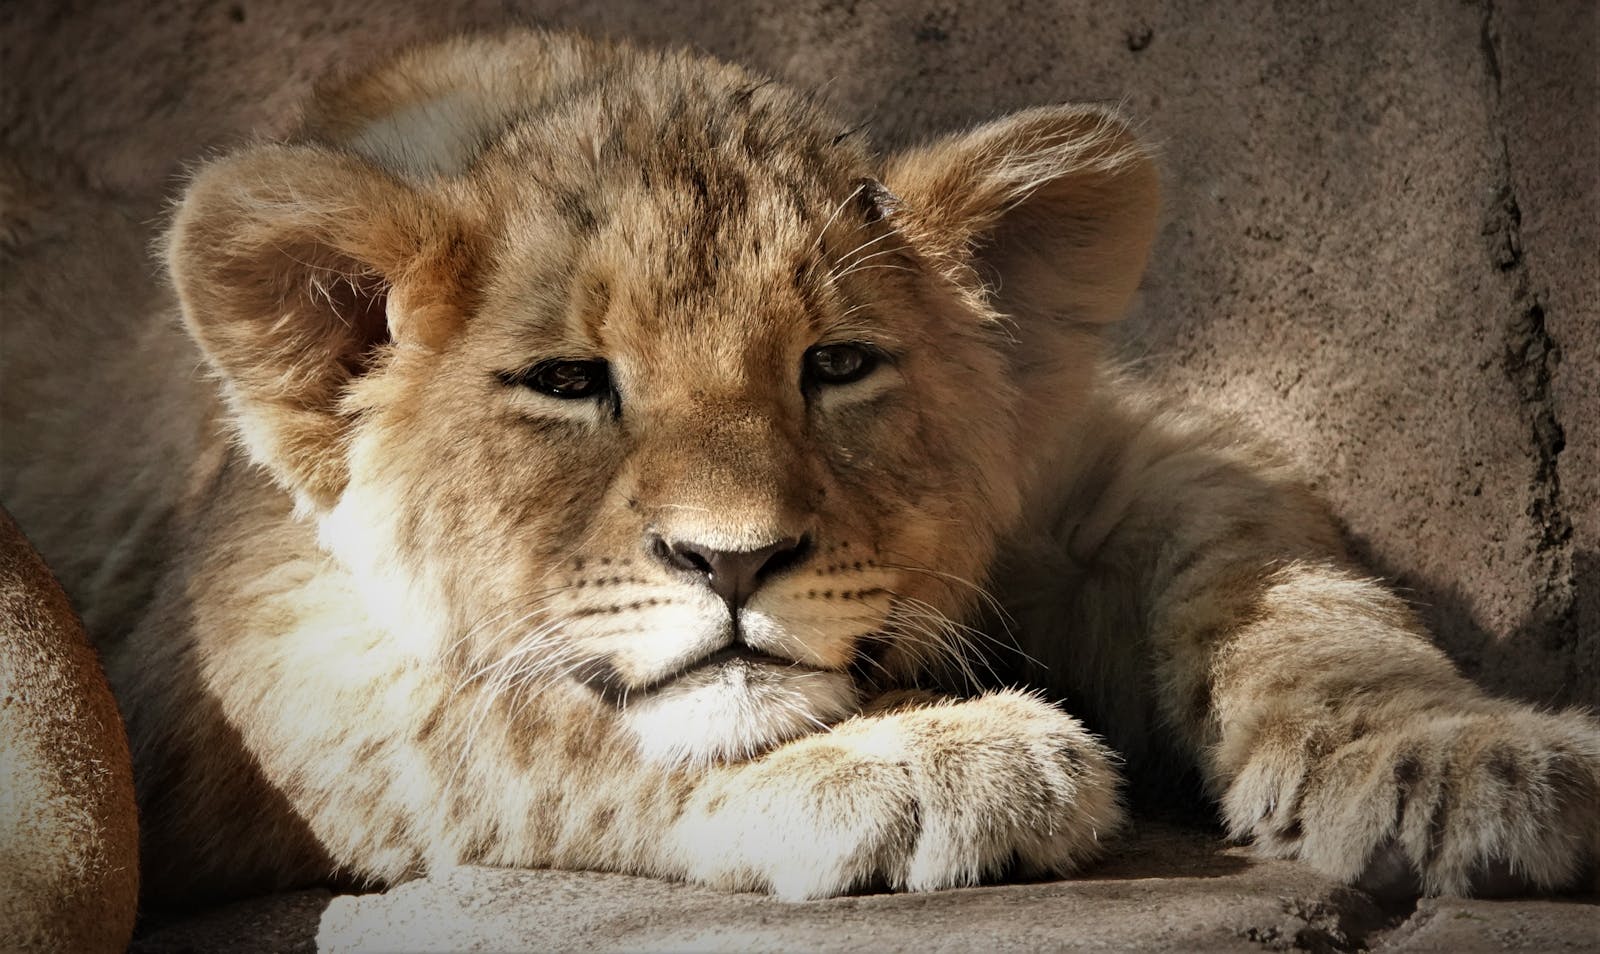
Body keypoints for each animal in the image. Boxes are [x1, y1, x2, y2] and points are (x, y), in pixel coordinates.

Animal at [1, 30, 1595, 910]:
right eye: (569, 383)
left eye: (836, 365)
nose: (734, 561)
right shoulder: (215, 654)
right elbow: (530, 723)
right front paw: (935, 756)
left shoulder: (1108, 464)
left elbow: (1298, 595)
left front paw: (1470, 759)